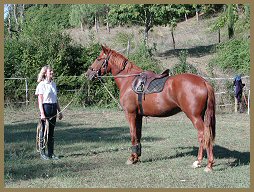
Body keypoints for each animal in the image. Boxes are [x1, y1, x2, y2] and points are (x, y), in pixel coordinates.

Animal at [86, 45, 215, 172]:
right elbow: (138, 135)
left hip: (195, 117)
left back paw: (202, 163)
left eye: (98, 59)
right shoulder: (139, 116)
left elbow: (132, 135)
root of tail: (203, 81)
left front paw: (131, 158)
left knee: (203, 135)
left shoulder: (130, 114)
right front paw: (136, 157)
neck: (128, 81)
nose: (88, 74)